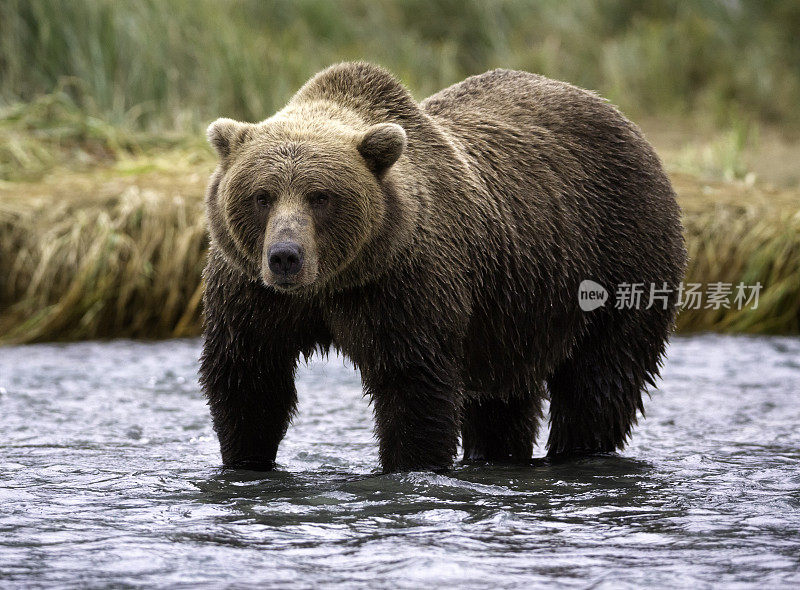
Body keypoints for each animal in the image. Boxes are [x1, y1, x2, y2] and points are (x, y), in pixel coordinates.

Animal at [200, 62, 688, 474]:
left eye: (320, 196)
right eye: (262, 195)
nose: (286, 256)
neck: (334, 282)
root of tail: (623, 119)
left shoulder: (402, 284)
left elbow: (413, 388)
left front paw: (409, 464)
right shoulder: (251, 291)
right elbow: (250, 379)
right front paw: (246, 462)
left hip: (621, 252)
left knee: (601, 378)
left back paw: (582, 453)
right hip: (513, 309)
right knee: (502, 397)